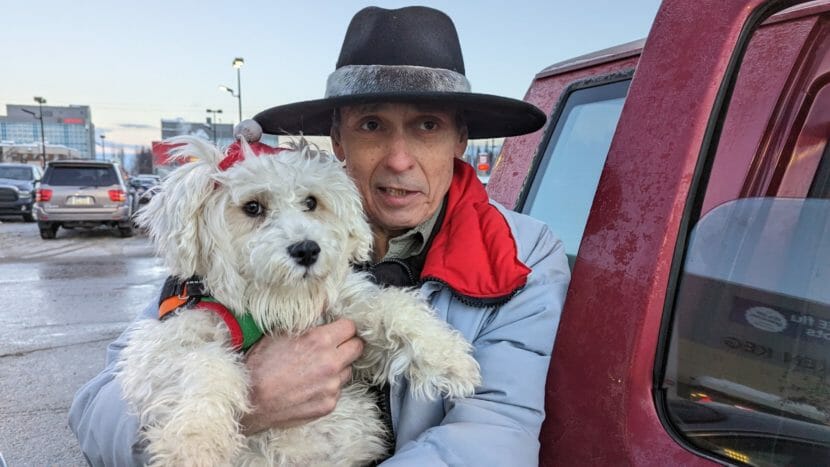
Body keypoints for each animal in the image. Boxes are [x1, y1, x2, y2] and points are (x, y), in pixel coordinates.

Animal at [116, 137, 480, 466]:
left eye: (310, 202)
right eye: (252, 207)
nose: (307, 250)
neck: (278, 305)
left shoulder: (348, 321)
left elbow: (390, 307)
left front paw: (451, 359)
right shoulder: (165, 343)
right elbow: (203, 365)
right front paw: (195, 442)